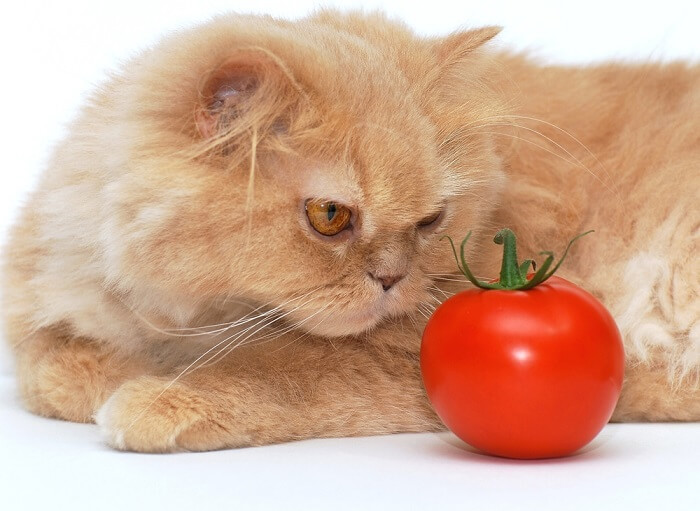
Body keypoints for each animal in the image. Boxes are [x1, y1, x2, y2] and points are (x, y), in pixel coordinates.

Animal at [2, 11, 696, 452]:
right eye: (330, 216)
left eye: (430, 220)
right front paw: (119, 375)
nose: (393, 279)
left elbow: (279, 368)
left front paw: (155, 395)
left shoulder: (400, 357)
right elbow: (50, 369)